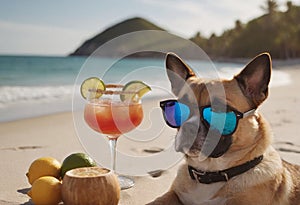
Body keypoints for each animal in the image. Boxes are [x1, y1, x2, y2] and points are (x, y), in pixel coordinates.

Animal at [147, 53, 300, 205]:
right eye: (178, 110)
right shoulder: (172, 194)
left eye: (219, 110)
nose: (189, 127)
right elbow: (158, 201)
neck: (209, 173)